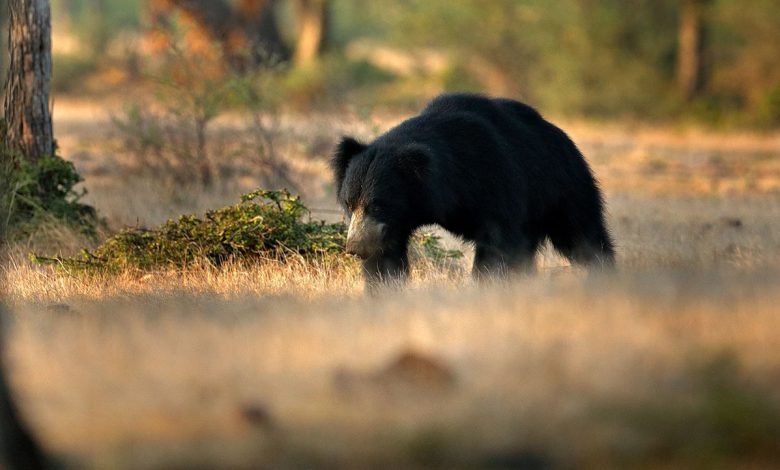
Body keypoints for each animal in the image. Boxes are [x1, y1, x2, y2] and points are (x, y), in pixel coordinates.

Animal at [330, 92, 616, 286]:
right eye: (349, 203)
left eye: (377, 205)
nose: (355, 247)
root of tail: (563, 137)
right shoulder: (394, 223)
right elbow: (386, 255)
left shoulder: (493, 179)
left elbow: (498, 241)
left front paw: (487, 283)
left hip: (561, 187)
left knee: (582, 233)